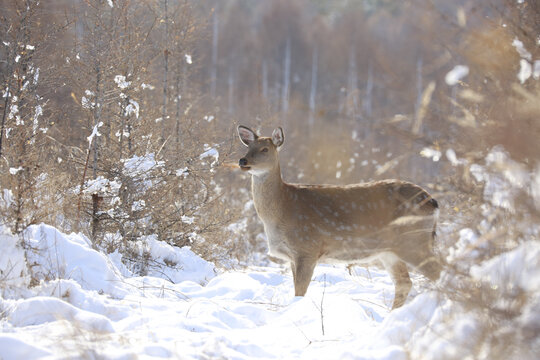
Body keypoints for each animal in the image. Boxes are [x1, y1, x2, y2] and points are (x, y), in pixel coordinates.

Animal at [238, 125, 440, 308]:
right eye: (248, 147)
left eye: (265, 149)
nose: (242, 160)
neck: (281, 210)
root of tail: (432, 201)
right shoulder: (293, 256)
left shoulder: (307, 248)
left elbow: (300, 293)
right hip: (390, 251)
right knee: (404, 283)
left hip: (414, 241)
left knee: (438, 273)